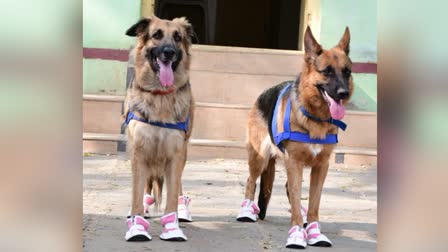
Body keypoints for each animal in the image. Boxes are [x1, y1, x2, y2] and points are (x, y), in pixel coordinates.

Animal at [122, 15, 194, 242]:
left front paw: (172, 227)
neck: (160, 96)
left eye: (178, 37)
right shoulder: (139, 151)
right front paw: (137, 225)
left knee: (177, 186)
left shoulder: (176, 153)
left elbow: (171, 195)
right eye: (157, 35)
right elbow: (136, 194)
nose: (169, 52)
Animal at [236, 26, 356, 249]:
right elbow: (296, 195)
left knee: (290, 191)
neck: (316, 118)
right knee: (251, 180)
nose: (343, 93)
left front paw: (314, 232)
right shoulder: (295, 163)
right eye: (327, 71)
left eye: (347, 72)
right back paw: (246, 211)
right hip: (259, 158)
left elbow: (314, 203)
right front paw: (297, 234)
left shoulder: (321, 167)